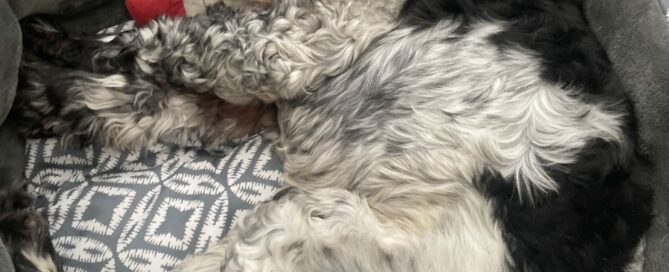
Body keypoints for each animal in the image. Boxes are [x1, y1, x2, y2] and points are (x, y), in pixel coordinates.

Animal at [15, 0, 652, 270]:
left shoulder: (296, 42)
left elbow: (151, 47)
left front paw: (53, 52)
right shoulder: (263, 95)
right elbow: (145, 98)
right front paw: (48, 95)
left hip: (300, 225)